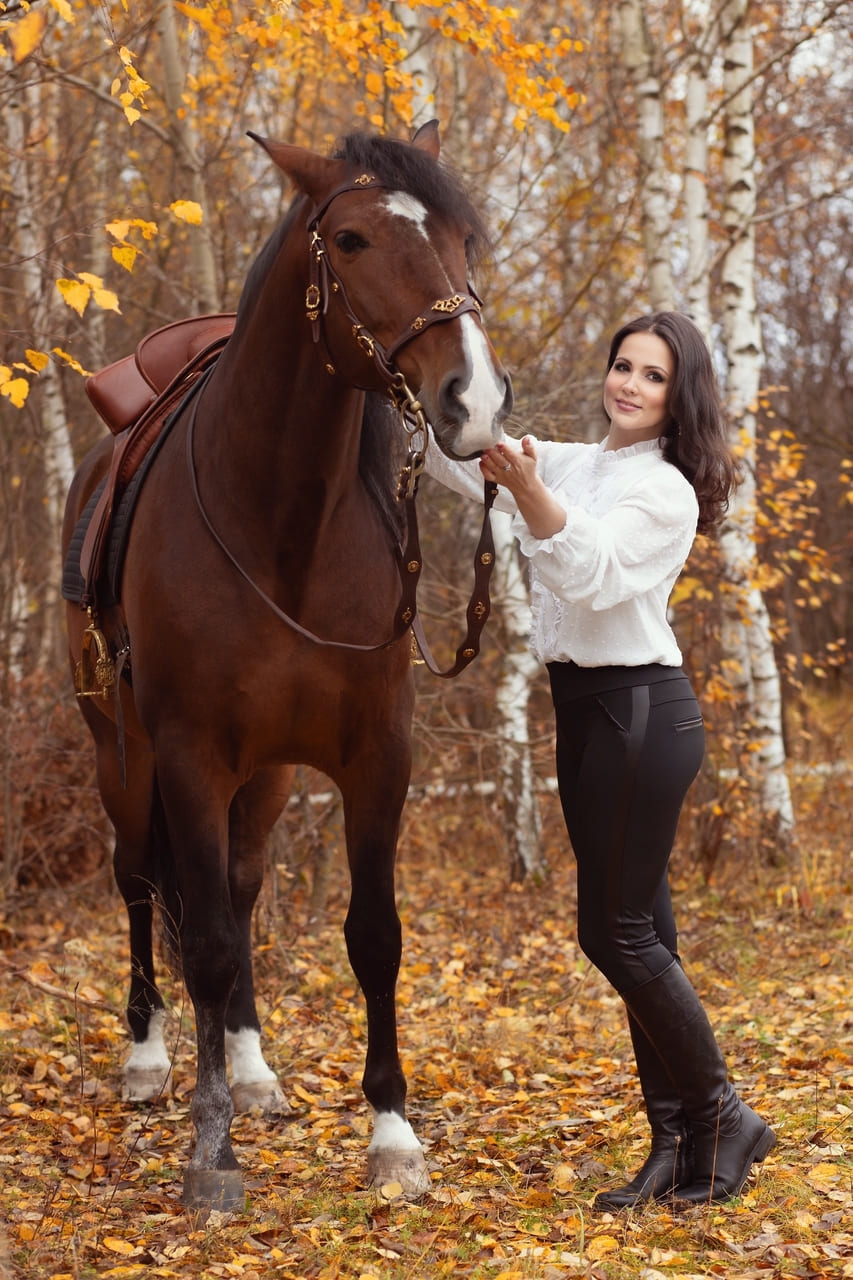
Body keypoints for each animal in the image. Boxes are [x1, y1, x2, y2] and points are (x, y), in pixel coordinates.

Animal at [61, 120, 512, 1210]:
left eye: (462, 237)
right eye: (348, 240)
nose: (474, 401)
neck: (281, 525)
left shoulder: (377, 754)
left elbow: (371, 934)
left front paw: (391, 1134)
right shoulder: (188, 755)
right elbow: (206, 942)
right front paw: (210, 1149)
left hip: (261, 779)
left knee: (238, 882)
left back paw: (253, 1066)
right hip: (121, 755)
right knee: (140, 881)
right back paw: (149, 1057)